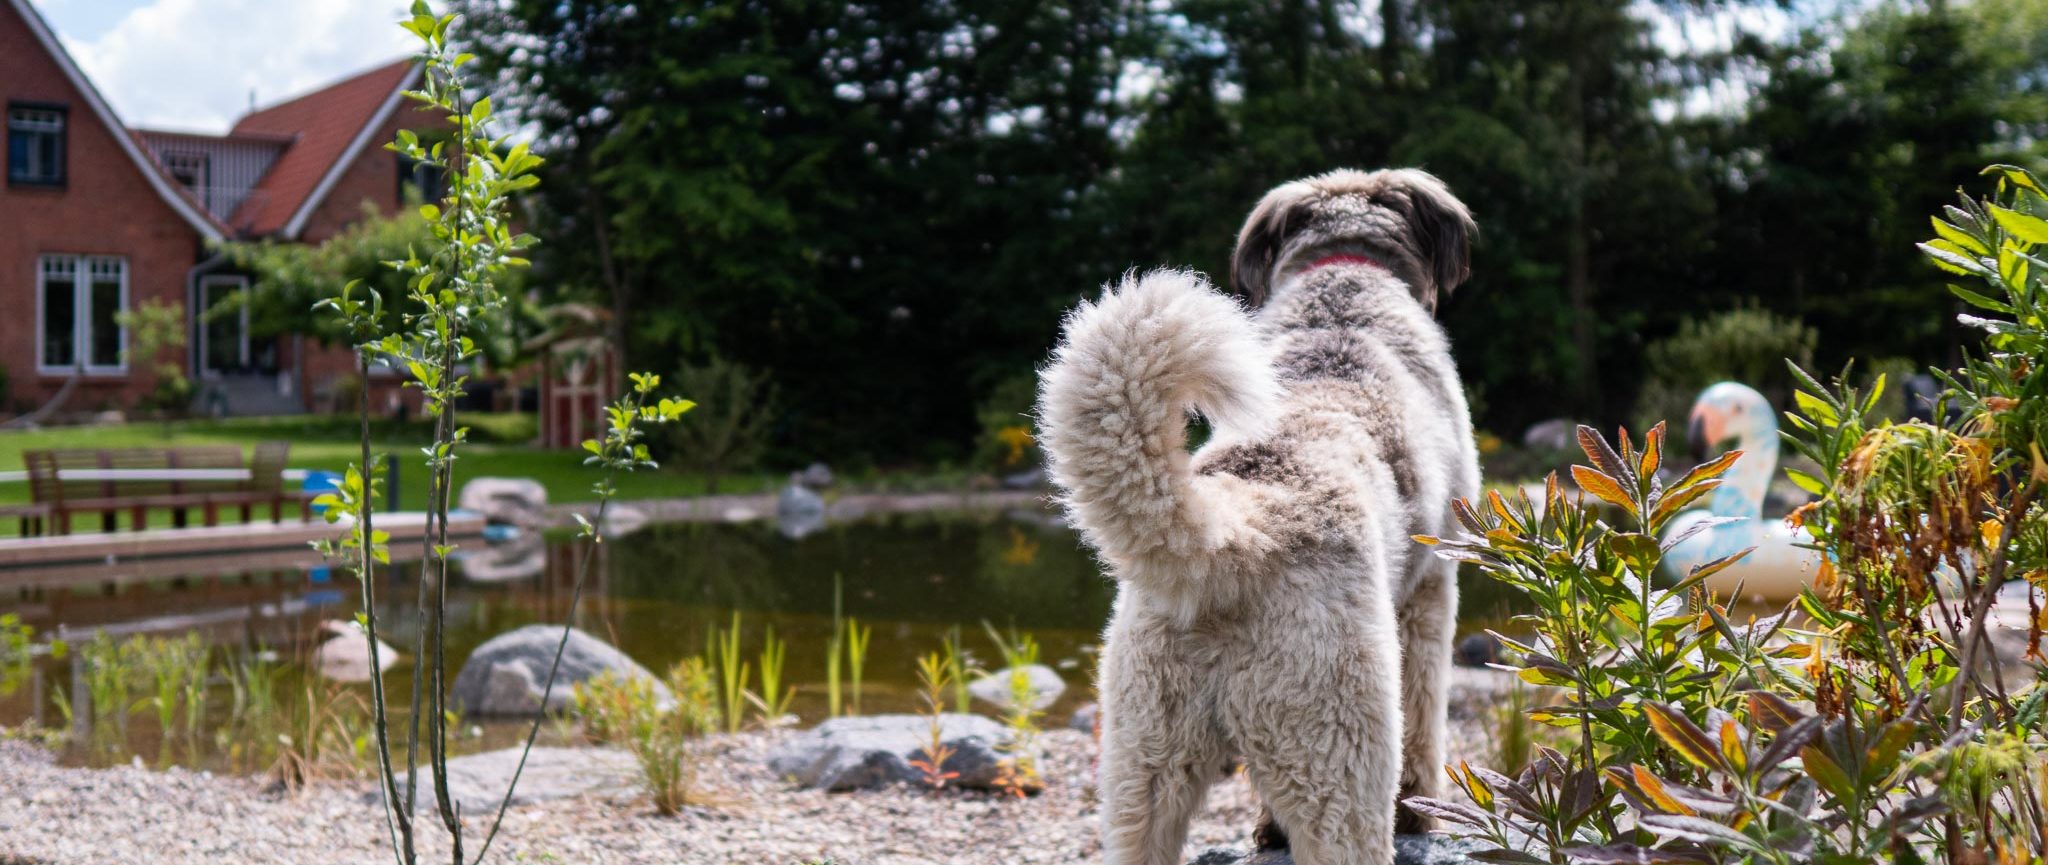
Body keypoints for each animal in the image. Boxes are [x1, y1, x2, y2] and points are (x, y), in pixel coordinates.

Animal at [1040, 169, 1474, 865]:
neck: (1345, 279)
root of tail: (1227, 538)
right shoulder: (1430, 594)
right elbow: (1425, 711)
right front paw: (1420, 809)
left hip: (1145, 761)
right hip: (1338, 752)